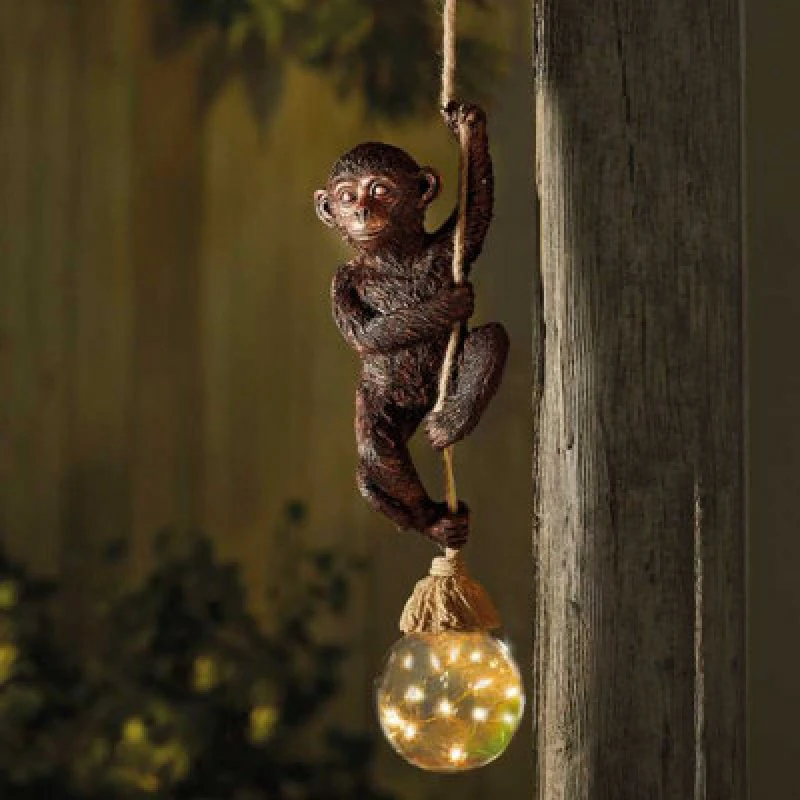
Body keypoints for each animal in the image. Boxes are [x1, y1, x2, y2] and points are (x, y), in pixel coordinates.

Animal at [314, 102, 508, 550]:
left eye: (380, 190)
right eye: (346, 196)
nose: (361, 211)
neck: (392, 257)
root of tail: (421, 407)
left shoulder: (443, 250)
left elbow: (477, 212)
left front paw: (468, 124)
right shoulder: (340, 281)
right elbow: (364, 335)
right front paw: (449, 303)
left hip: (445, 381)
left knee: (489, 340)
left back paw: (450, 424)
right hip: (380, 398)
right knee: (375, 458)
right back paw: (435, 521)